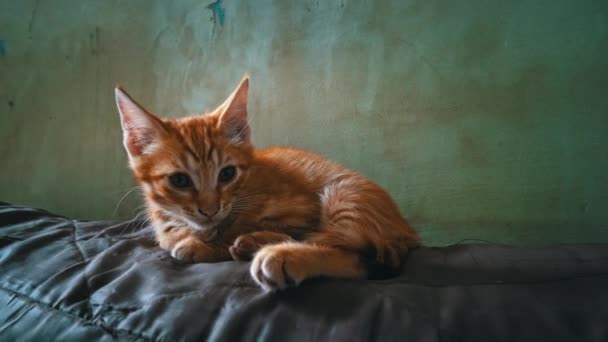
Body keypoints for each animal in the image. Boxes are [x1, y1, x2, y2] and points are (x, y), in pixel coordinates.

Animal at [115, 75, 418, 292]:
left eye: (227, 174)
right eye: (179, 180)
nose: (210, 210)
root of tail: (408, 230)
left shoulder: (303, 211)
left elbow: (265, 230)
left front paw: (212, 243)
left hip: (344, 194)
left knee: (351, 253)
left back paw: (280, 256)